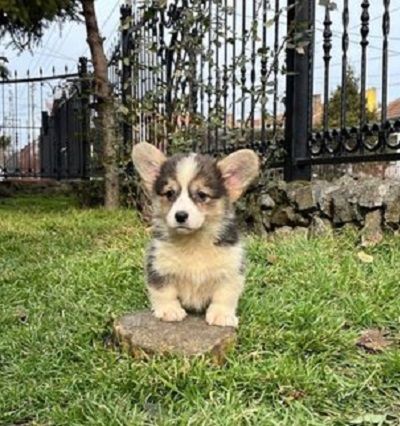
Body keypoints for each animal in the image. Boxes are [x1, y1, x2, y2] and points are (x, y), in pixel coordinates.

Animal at [131, 142, 260, 326]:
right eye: (169, 193)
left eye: (202, 194)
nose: (180, 216)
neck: (193, 241)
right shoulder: (158, 265)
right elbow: (164, 291)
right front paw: (169, 310)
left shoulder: (231, 269)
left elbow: (225, 295)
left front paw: (222, 315)